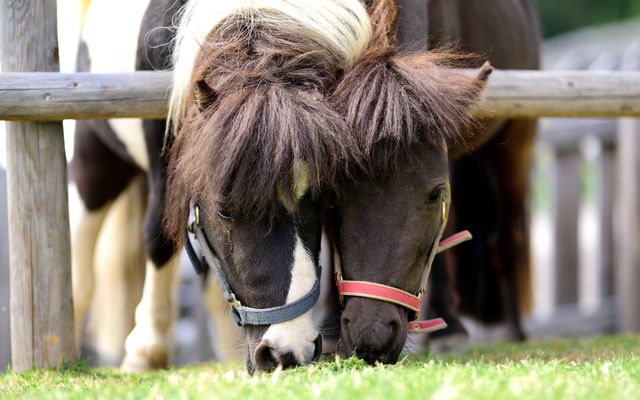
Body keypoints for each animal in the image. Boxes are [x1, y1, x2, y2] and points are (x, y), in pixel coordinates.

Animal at [71, 0, 370, 372]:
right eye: (225, 212)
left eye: (321, 201)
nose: (288, 351)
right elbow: (159, 236)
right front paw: (145, 351)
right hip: (96, 155)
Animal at [324, 0, 540, 362]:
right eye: (333, 195)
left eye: (436, 194)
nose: (371, 334)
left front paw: (448, 330)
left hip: (514, 148)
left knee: (507, 241)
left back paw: (513, 331)